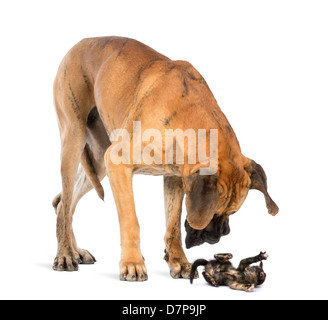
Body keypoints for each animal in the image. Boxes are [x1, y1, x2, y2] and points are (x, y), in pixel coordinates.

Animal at [52, 37, 278, 280]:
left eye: (233, 212)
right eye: (213, 213)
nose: (220, 234)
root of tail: (79, 43)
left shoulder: (176, 178)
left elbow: (173, 226)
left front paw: (178, 261)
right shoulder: (118, 164)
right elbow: (131, 222)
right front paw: (132, 263)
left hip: (98, 159)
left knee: (63, 203)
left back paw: (75, 251)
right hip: (74, 141)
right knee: (64, 206)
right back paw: (65, 254)